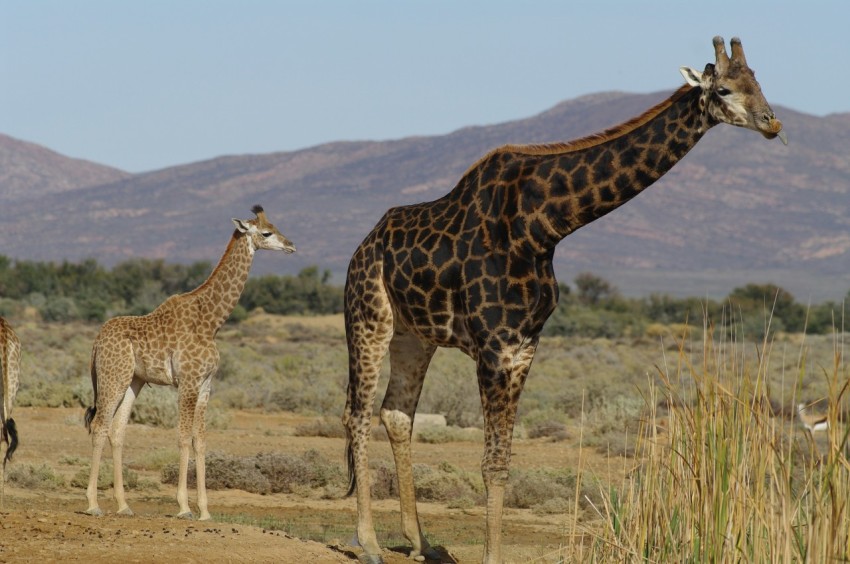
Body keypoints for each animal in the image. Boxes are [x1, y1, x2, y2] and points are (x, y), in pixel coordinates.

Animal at [83, 205, 294, 516]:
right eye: (266, 233)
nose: (291, 245)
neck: (211, 322)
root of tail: (96, 342)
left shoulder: (206, 384)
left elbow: (200, 440)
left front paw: (205, 511)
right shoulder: (188, 381)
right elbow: (183, 436)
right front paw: (184, 507)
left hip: (134, 381)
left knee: (117, 431)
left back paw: (123, 506)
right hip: (114, 377)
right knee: (99, 426)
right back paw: (93, 505)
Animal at [342, 37, 784, 560]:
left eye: (758, 81)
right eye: (723, 89)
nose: (772, 122)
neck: (543, 225)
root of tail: (363, 246)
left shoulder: (524, 345)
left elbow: (502, 462)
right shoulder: (495, 346)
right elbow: (491, 463)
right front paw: (490, 556)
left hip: (415, 335)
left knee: (396, 413)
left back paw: (418, 541)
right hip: (368, 317)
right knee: (357, 413)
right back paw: (369, 542)